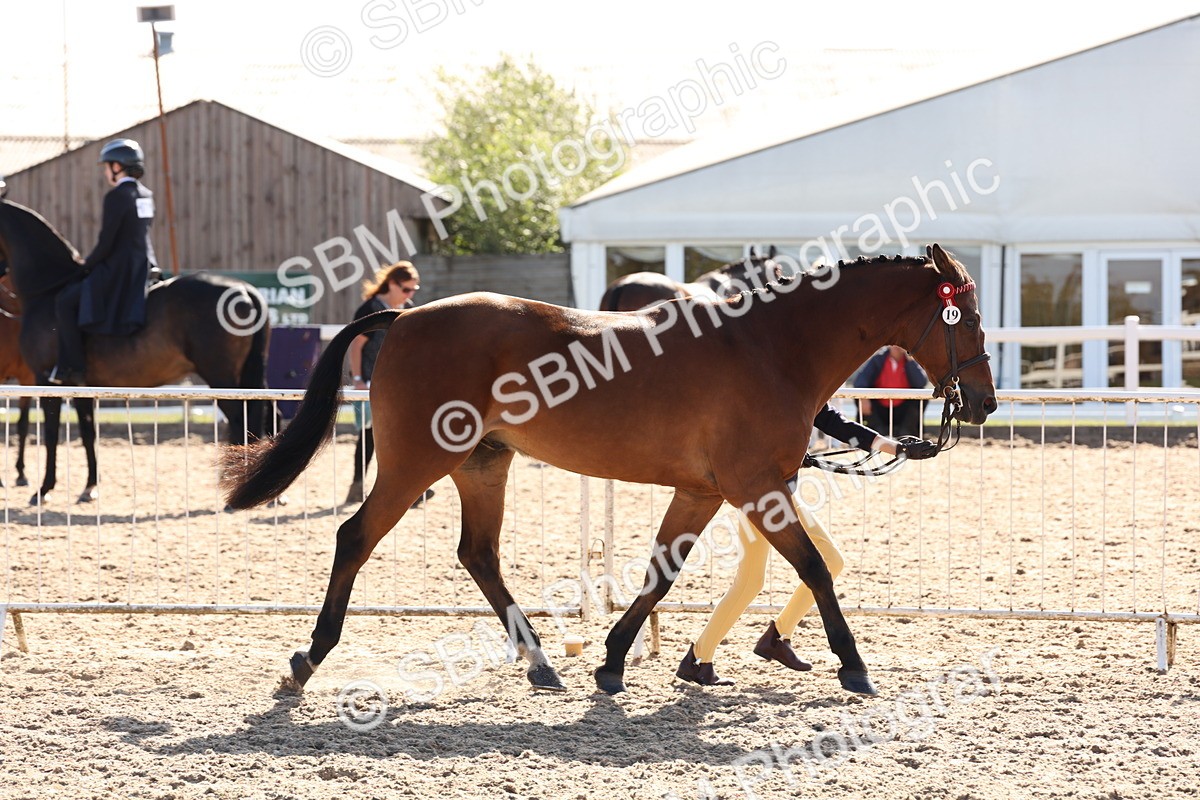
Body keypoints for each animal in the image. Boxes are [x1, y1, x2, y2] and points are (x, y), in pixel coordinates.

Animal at [0, 184, 270, 505]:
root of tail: (246, 289)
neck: (48, 291)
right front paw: (89, 487)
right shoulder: (79, 384)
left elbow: (51, 433)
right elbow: (88, 432)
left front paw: (43, 490)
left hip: (221, 376)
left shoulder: (45, 379)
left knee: (242, 418)